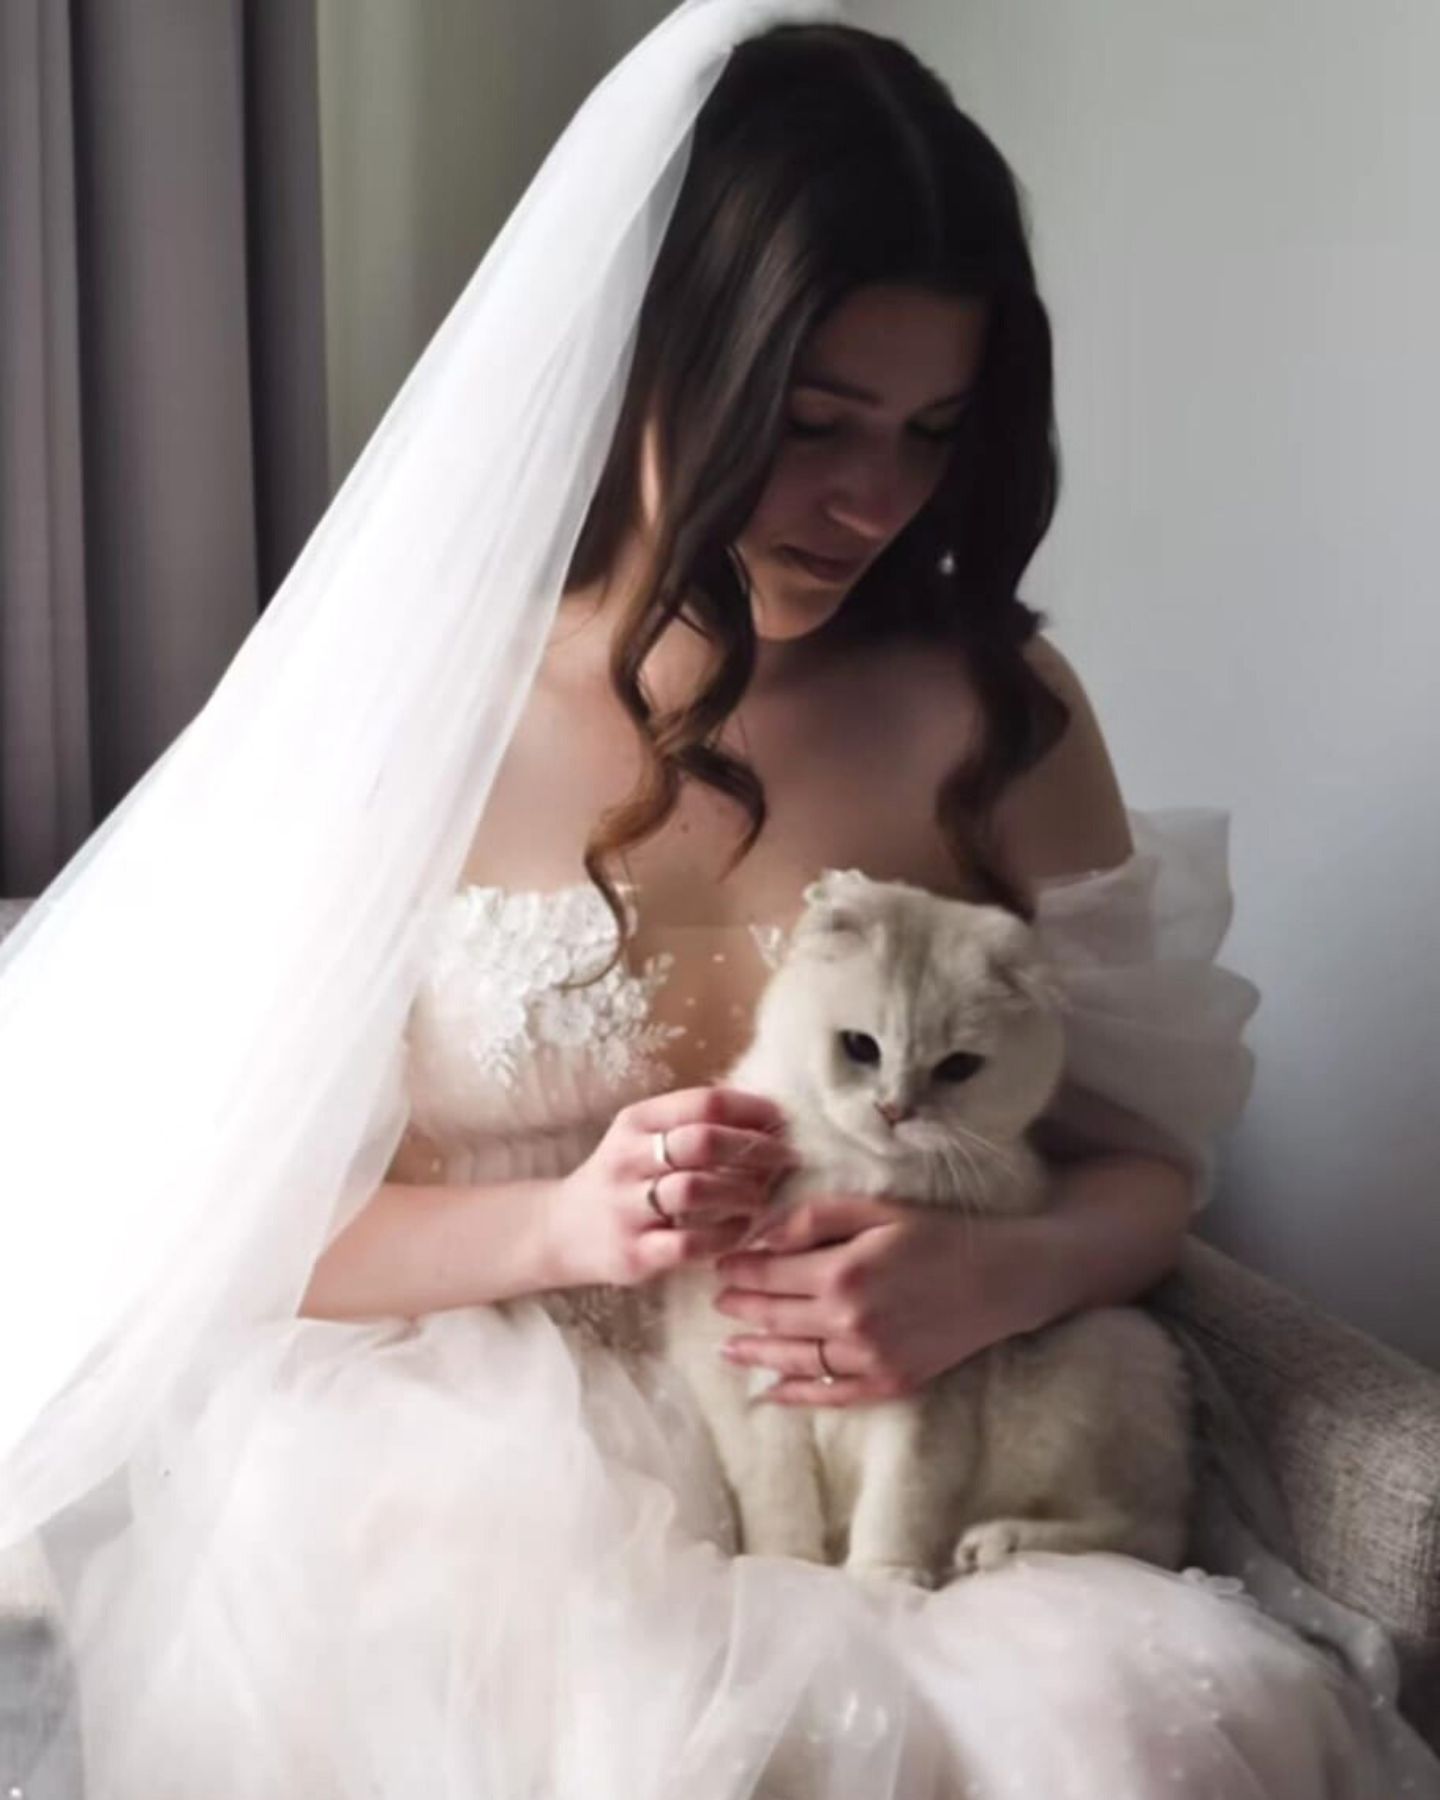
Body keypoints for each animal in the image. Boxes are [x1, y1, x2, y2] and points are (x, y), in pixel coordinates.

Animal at [662, 871, 1195, 1591]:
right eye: (860, 1046)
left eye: (958, 1067)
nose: (895, 1110)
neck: (853, 1177)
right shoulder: (750, 1378)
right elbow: (780, 1501)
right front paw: (790, 1574)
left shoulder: (929, 1389)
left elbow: (901, 1493)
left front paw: (884, 1582)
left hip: (1095, 1345)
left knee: (1150, 1537)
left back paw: (993, 1543)